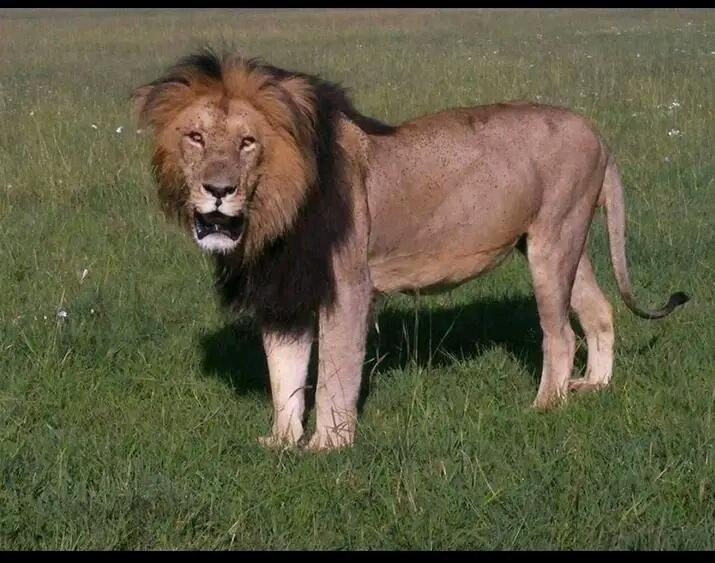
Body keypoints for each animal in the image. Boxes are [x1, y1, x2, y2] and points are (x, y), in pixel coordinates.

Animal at [133, 50, 689, 451]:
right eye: (195, 137)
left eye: (248, 142)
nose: (218, 190)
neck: (271, 212)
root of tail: (596, 132)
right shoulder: (284, 290)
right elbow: (283, 371)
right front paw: (280, 442)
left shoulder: (348, 285)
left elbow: (334, 371)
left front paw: (327, 447)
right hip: (560, 241)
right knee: (600, 311)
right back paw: (595, 386)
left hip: (552, 244)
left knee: (560, 335)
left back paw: (545, 406)